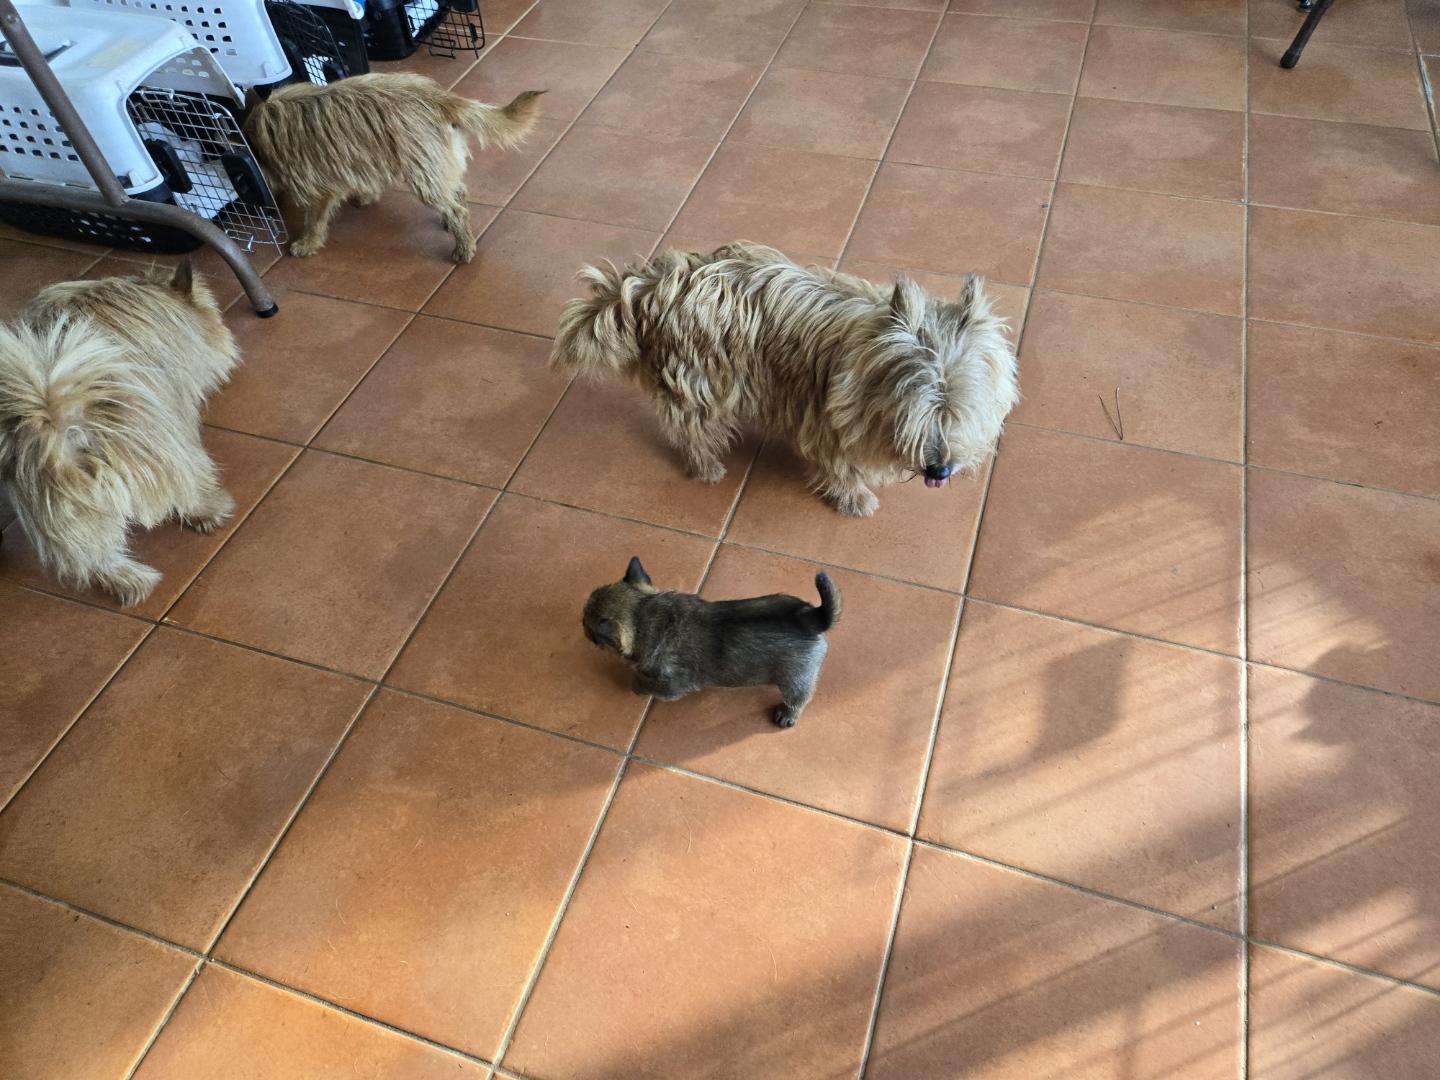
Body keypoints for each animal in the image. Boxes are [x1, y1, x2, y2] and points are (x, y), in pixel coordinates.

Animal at [0, 260, 238, 607]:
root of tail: (63, 426)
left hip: (61, 508)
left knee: (94, 555)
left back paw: (130, 582)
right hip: (168, 450)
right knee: (187, 487)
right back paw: (210, 510)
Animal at [244, 73, 543, 262]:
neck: (257, 142)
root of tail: (439, 98)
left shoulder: (316, 184)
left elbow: (314, 219)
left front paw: (306, 243)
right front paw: (366, 196)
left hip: (422, 172)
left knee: (457, 210)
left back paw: (464, 249)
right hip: (438, 161)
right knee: (457, 191)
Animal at [551, 242, 1018, 516]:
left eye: (960, 410)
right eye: (920, 411)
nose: (939, 468)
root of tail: (650, 288)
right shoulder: (831, 424)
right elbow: (841, 468)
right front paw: (856, 499)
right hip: (699, 382)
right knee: (691, 428)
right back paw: (707, 466)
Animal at [583, 556, 841, 728]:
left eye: (587, 625)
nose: (582, 626)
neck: (644, 610)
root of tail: (812, 617)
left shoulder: (670, 685)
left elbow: (647, 683)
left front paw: (637, 684)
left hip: (796, 680)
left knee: (799, 699)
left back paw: (788, 715)